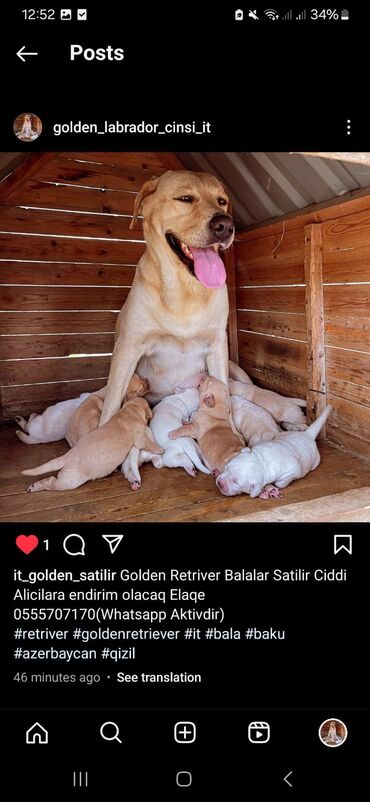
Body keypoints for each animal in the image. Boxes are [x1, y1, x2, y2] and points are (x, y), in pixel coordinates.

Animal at [22, 396, 163, 490]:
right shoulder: (140, 437)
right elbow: (148, 444)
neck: (130, 410)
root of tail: (66, 457)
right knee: (52, 482)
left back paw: (34, 485)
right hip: (69, 481)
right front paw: (161, 449)